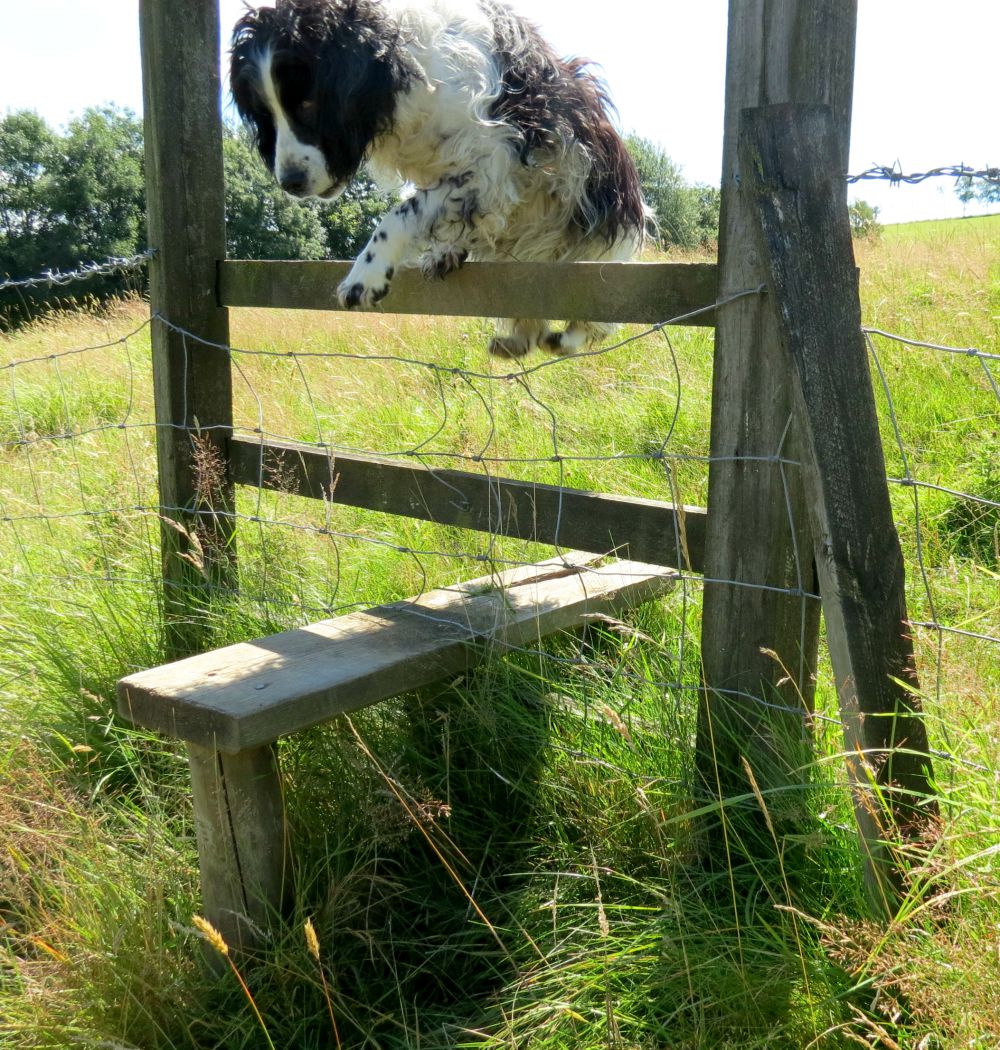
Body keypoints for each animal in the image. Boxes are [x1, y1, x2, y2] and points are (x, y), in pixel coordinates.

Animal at [230, 0, 642, 356]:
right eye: (264, 113)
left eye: (308, 103)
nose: (289, 182)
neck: (405, 66)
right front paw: (443, 249)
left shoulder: (489, 165)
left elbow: (401, 212)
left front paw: (366, 274)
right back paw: (514, 337)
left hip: (597, 250)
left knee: (592, 321)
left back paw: (566, 338)